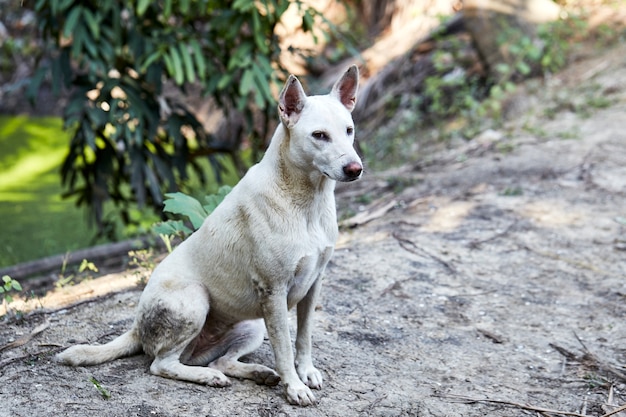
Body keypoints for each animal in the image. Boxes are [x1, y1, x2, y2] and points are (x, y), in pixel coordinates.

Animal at [58, 66, 360, 406]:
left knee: (220, 361)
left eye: (348, 130)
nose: (355, 169)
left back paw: (256, 373)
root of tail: (135, 328)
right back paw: (208, 377)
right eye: (319, 136)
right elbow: (284, 348)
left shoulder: (313, 284)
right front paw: (294, 386)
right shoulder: (274, 292)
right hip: (196, 300)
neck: (306, 202)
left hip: (252, 326)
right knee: (161, 365)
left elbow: (304, 337)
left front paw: (305, 372)